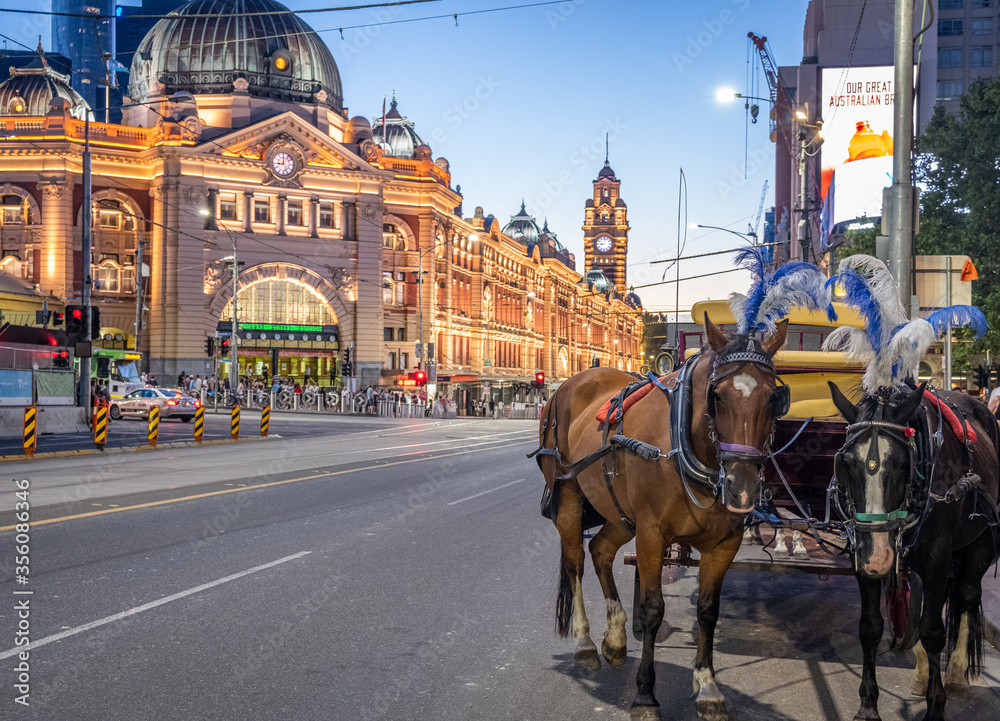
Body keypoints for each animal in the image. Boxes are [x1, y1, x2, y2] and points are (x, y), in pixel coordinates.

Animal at [535, 316, 789, 720]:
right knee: (575, 561)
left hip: (620, 514)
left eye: (773, 397)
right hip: (570, 495)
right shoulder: (652, 535)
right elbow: (653, 610)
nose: (742, 489)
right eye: (717, 395)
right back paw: (585, 643)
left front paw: (708, 687)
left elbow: (708, 612)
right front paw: (645, 694)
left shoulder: (724, 544)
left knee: (601, 551)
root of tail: (573, 382)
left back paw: (616, 638)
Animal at [829, 381, 1000, 721]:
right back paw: (921, 673)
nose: (879, 557)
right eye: (846, 463)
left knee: (965, 597)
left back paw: (956, 674)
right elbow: (870, 627)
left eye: (903, 464)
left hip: (980, 542)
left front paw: (936, 706)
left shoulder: (937, 561)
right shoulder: (861, 559)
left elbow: (933, 631)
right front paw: (868, 704)